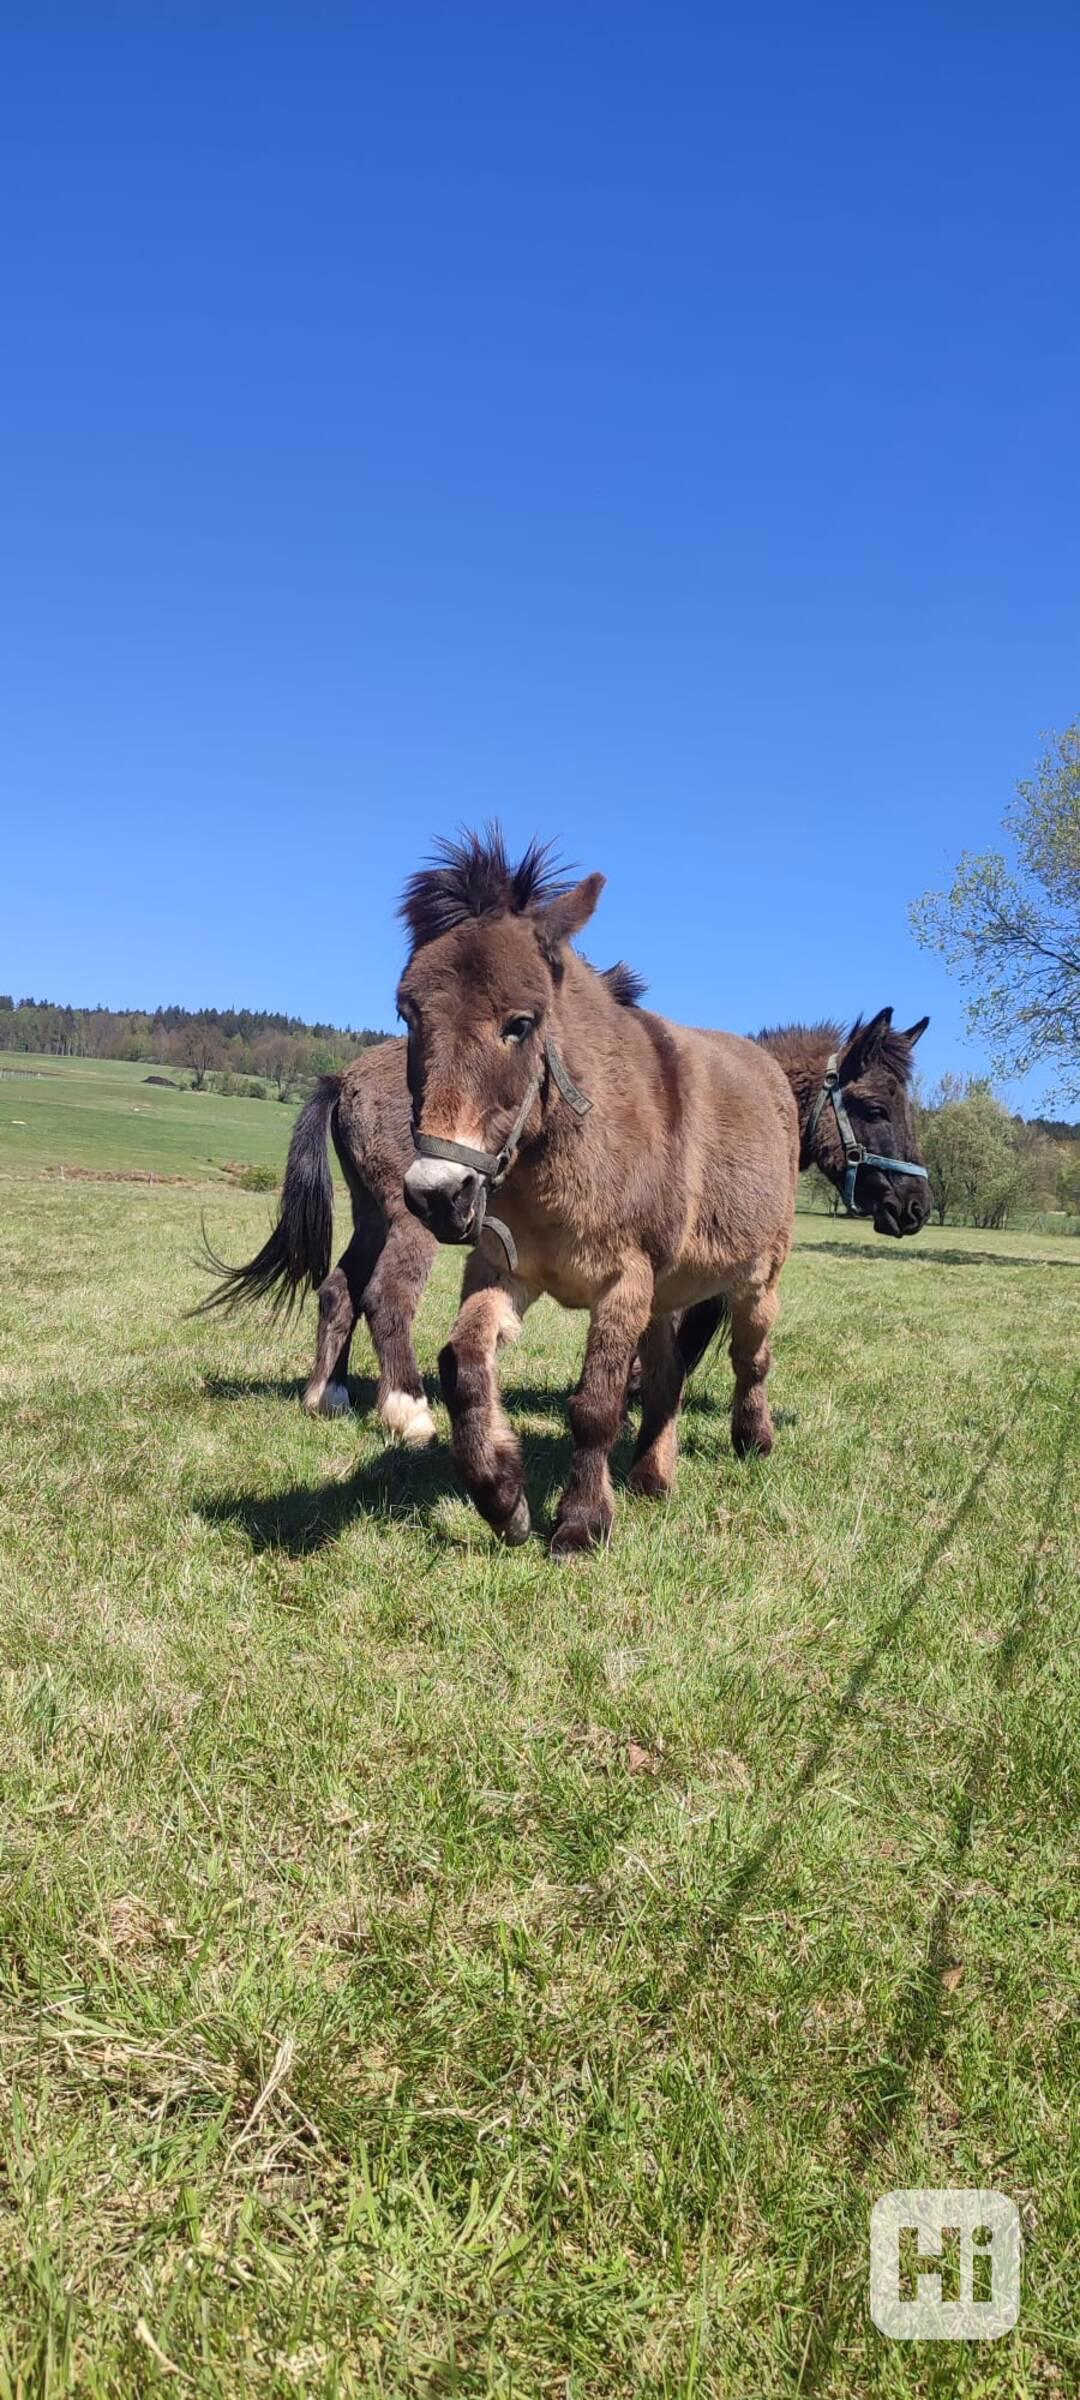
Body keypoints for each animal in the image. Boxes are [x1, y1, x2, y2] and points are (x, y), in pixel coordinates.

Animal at [396, 840, 926, 1555]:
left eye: (521, 1024)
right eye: (408, 1015)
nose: (437, 1196)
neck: (568, 1145)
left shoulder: (625, 1281)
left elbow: (596, 1405)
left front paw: (581, 1524)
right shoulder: (504, 1267)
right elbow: (463, 1365)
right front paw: (502, 1496)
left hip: (754, 1282)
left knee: (750, 1359)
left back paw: (751, 1441)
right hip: (666, 1291)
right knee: (670, 1374)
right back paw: (652, 1475)